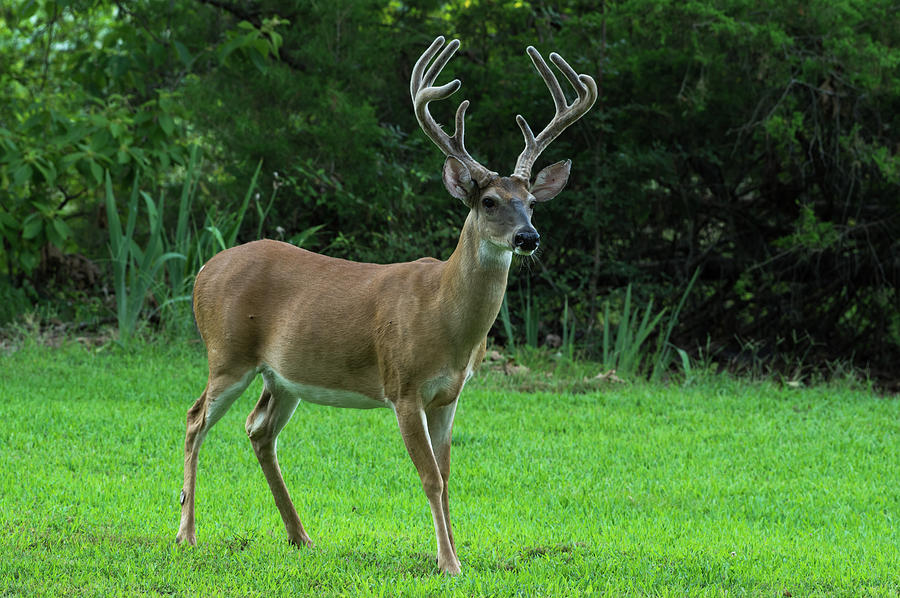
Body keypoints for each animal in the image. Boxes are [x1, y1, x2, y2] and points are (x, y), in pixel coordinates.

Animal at [176, 36, 596, 576]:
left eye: (533, 203)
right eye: (489, 202)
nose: (529, 237)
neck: (446, 320)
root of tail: (203, 271)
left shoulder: (450, 395)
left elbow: (448, 474)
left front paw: (453, 552)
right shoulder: (403, 386)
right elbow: (431, 477)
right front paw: (448, 563)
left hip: (282, 375)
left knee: (259, 429)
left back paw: (301, 536)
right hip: (227, 353)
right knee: (195, 420)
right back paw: (187, 534)